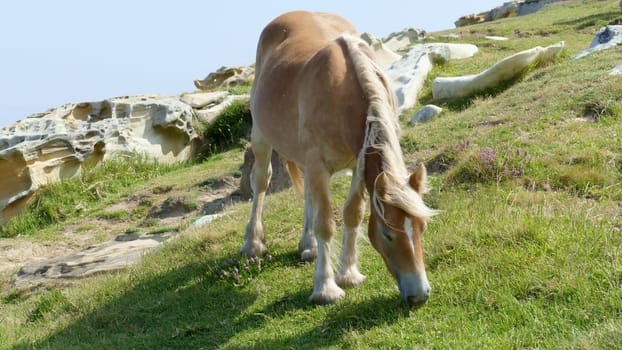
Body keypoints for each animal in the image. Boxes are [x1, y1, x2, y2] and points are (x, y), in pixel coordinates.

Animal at [244, 10, 438, 306]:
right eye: (387, 234)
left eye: (422, 227)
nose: (419, 294)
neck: (342, 92)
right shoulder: (318, 166)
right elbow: (326, 224)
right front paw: (326, 288)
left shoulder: (358, 165)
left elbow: (352, 214)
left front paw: (348, 273)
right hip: (261, 138)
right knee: (260, 184)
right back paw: (253, 243)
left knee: (307, 195)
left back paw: (308, 245)